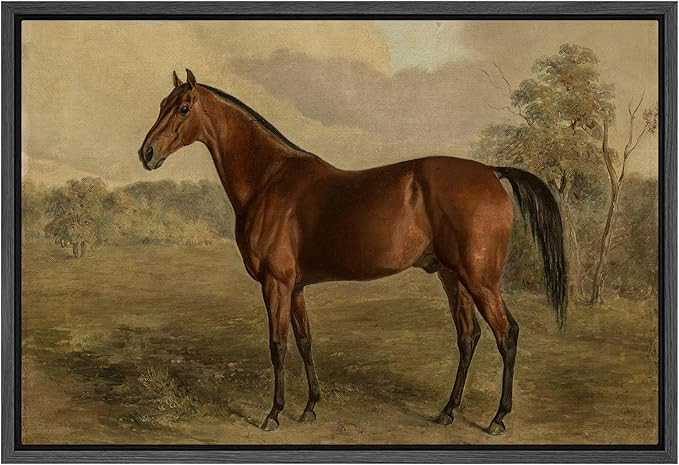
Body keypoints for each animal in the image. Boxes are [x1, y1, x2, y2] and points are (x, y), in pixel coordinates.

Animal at [139, 69, 567, 434]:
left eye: (183, 108)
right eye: (160, 103)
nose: (147, 153)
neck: (269, 180)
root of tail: (491, 172)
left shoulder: (276, 284)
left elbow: (278, 345)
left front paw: (274, 414)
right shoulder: (295, 287)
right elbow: (305, 341)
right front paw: (310, 407)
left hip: (480, 278)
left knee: (506, 333)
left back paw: (498, 418)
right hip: (454, 277)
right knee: (468, 336)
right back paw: (447, 411)